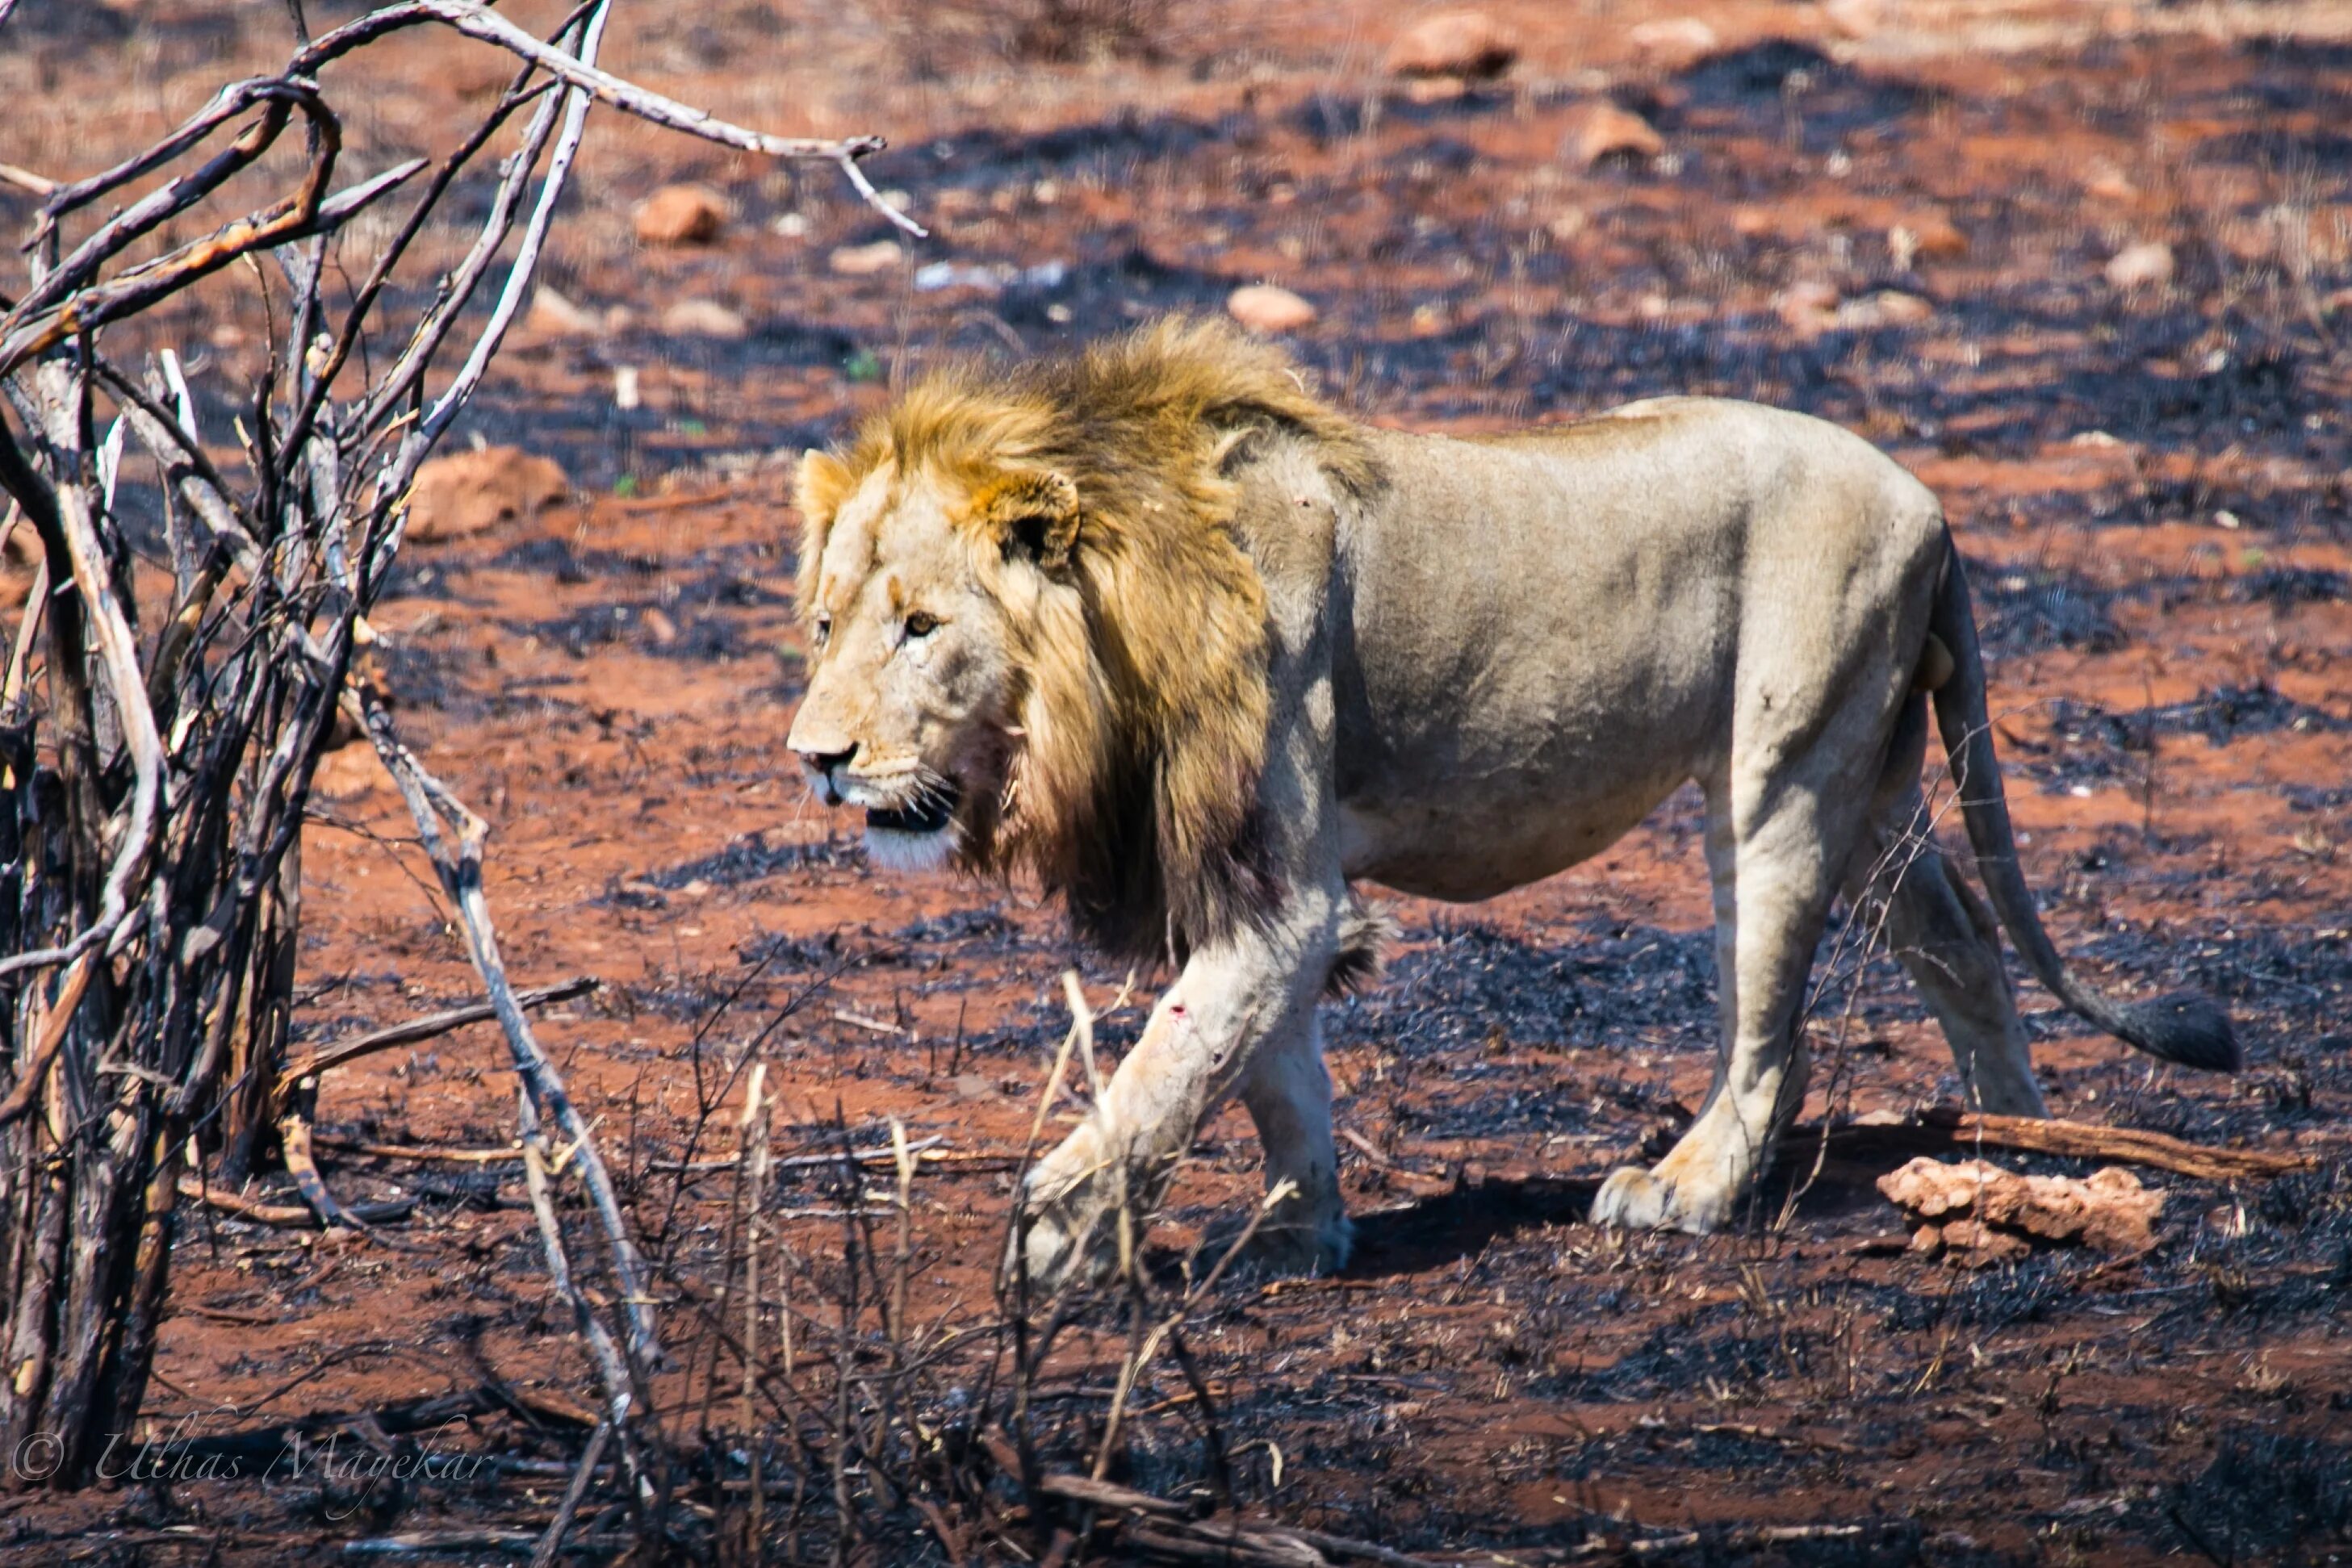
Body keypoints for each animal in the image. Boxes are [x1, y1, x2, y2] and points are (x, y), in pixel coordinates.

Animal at [781, 320, 2229, 1288]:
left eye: (920, 625)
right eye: (824, 622)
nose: (816, 756)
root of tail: (1925, 497)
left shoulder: (1279, 883)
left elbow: (1167, 1062)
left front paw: (1060, 1226)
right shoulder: (1250, 880)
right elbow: (1266, 1067)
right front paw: (1296, 1232)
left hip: (1778, 769)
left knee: (1771, 1030)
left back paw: (1686, 1187)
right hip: (1866, 780)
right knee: (1963, 943)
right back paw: (2021, 1145)